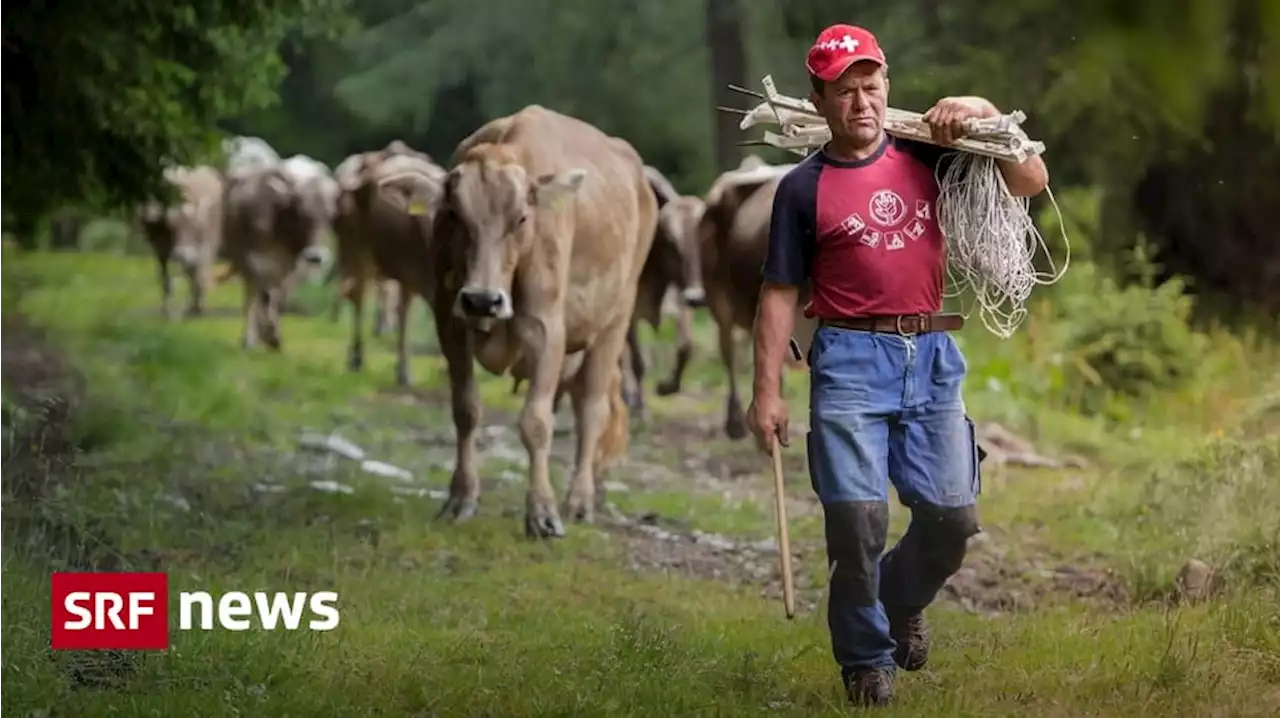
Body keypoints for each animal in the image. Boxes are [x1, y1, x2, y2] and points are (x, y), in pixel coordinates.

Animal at [136, 166, 225, 317]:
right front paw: (166, 309)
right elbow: (165, 278)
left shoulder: (206, 245)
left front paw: (198, 305)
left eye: (197, 227)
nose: (184, 255)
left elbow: (199, 274)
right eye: (173, 227)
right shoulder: (160, 250)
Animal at [225, 163, 335, 353]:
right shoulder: (255, 260)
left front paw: (274, 336)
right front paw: (266, 336)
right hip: (243, 262)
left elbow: (280, 298)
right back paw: (249, 339)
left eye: (329, 217)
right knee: (251, 297)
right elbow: (264, 296)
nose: (315, 257)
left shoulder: (293, 267)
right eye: (301, 213)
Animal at [404, 103, 655, 534]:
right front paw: (461, 497)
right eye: (454, 214)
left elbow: (535, 423)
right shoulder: (449, 321)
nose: (482, 300)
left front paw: (542, 512)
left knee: (592, 410)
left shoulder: (546, 329)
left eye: (521, 218)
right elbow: (466, 410)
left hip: (615, 321)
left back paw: (580, 499)